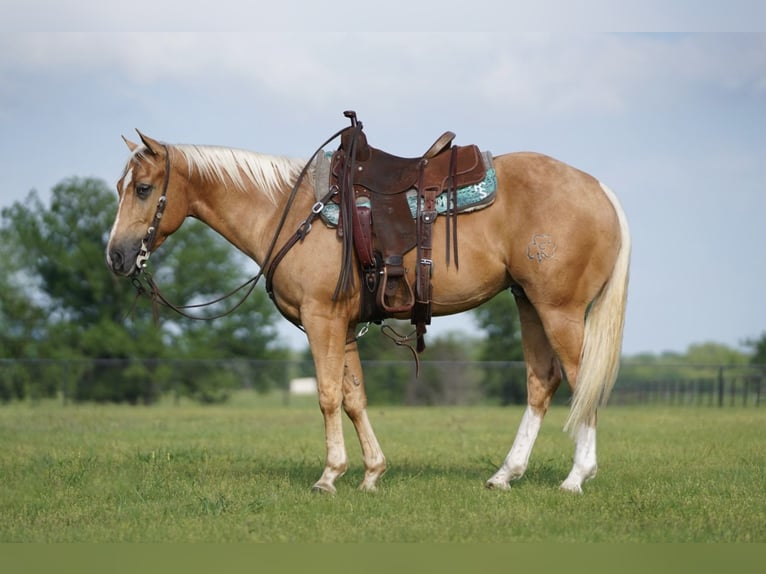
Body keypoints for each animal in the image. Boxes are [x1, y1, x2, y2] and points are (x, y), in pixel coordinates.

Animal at [105, 125, 632, 496]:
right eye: (118, 187)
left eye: (144, 189)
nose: (116, 256)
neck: (290, 214)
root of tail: (598, 188)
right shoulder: (344, 324)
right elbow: (354, 397)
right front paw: (372, 473)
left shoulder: (321, 320)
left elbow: (327, 396)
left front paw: (329, 475)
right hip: (528, 303)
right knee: (542, 382)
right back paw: (506, 474)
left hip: (559, 309)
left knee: (581, 381)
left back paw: (576, 477)